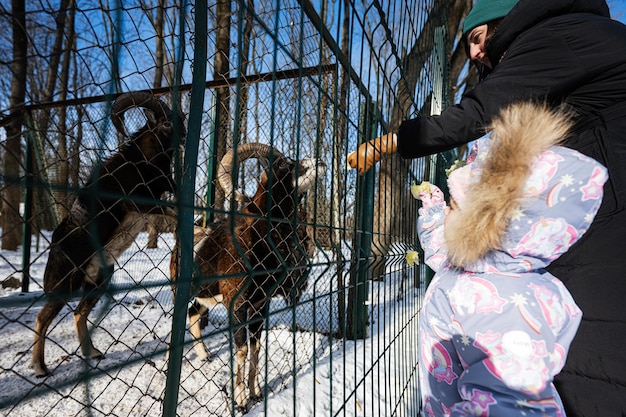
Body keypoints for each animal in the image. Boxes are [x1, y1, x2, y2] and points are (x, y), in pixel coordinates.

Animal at [32, 91, 183, 376]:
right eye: (166, 123)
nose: (184, 133)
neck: (142, 163)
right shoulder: (140, 203)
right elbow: (172, 211)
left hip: (98, 281)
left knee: (79, 312)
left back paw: (92, 353)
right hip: (65, 286)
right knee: (42, 317)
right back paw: (40, 367)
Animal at [169, 142, 324, 410]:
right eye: (284, 164)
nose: (320, 163)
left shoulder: (260, 306)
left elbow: (256, 347)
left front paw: (256, 393)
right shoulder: (238, 305)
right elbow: (241, 349)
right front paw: (241, 401)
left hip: (205, 299)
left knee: (193, 315)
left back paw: (205, 356)